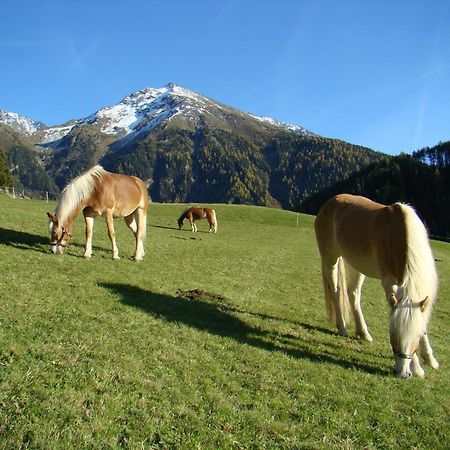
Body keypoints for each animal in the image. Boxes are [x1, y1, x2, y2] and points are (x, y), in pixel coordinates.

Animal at [314, 193, 438, 380]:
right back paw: (342, 328)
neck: (398, 235)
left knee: (353, 294)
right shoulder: (390, 284)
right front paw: (418, 368)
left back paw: (363, 333)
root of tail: (331, 202)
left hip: (356, 266)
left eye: (416, 335)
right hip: (331, 259)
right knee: (336, 292)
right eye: (392, 333)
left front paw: (430, 360)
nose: (402, 373)